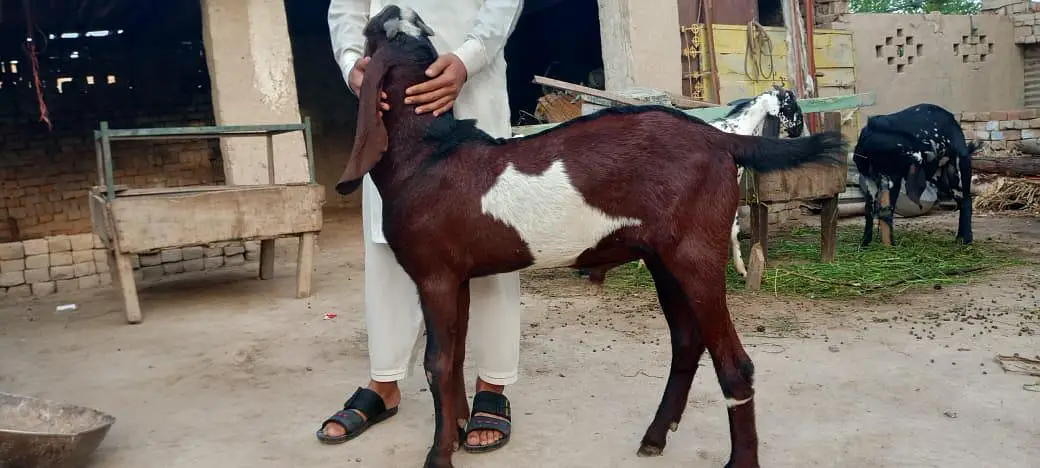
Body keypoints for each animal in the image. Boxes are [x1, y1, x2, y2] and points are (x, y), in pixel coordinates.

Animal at [337, 6, 846, 468]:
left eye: (376, 33)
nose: (389, 7)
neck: (428, 153)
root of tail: (722, 139)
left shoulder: (435, 275)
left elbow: (437, 364)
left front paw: (439, 456)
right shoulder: (457, 275)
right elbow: (457, 353)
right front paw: (462, 431)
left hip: (696, 253)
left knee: (734, 364)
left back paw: (738, 459)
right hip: (663, 258)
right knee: (687, 341)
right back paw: (654, 437)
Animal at [853, 103, 980, 247]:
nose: (934, 152)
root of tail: (952, 118)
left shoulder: (894, 178)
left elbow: (888, 208)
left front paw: (890, 244)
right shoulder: (870, 178)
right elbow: (869, 209)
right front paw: (864, 243)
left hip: (959, 170)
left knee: (967, 200)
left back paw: (967, 239)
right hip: (940, 178)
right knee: (961, 200)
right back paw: (959, 238)